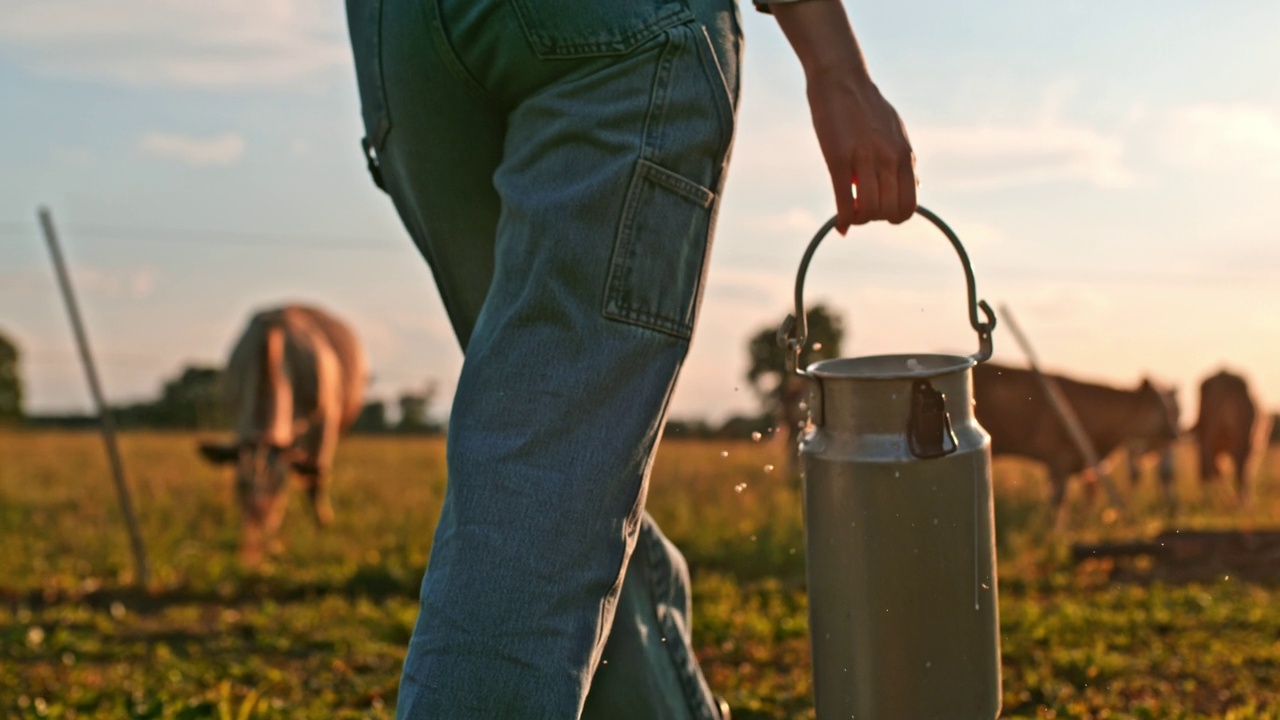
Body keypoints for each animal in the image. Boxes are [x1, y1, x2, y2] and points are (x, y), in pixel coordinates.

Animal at [197, 302, 366, 561]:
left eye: (280, 487)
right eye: (240, 485)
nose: (253, 543)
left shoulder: (325, 420)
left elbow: (316, 480)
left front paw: (321, 523)